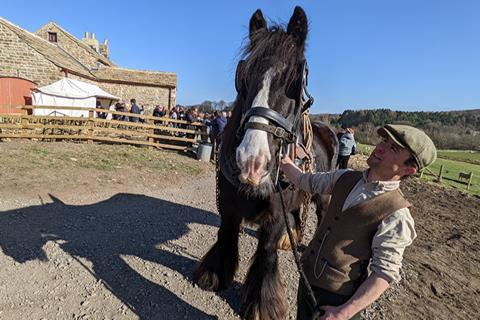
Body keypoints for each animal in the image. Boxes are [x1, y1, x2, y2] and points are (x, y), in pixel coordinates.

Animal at [193, 7, 336, 320]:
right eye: (243, 76)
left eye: (296, 81)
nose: (251, 163)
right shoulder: (228, 204)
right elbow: (226, 233)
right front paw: (214, 274)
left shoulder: (275, 214)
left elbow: (267, 250)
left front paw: (262, 303)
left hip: (323, 193)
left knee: (320, 214)